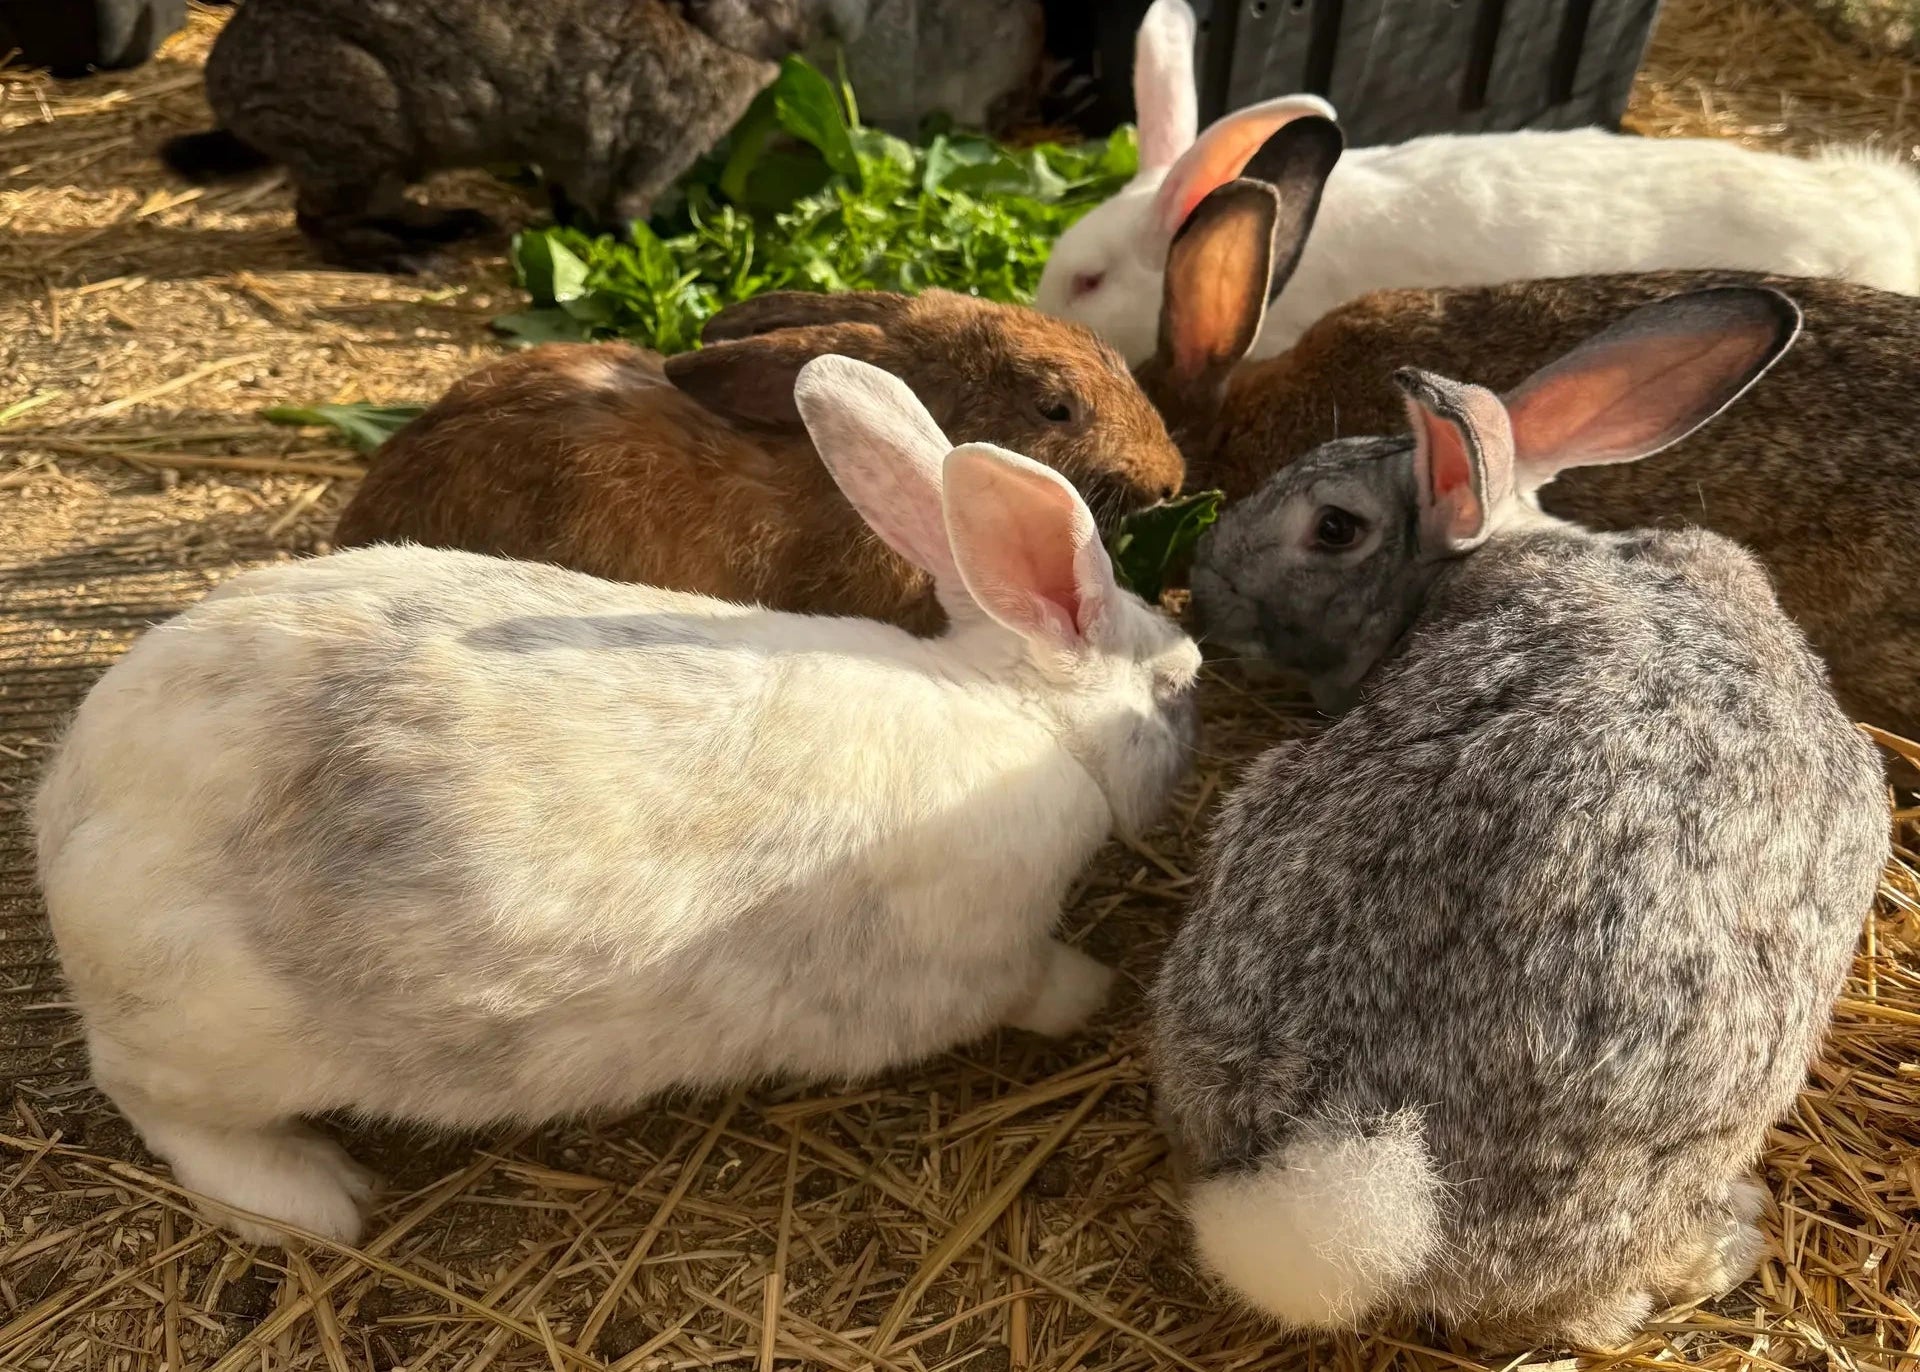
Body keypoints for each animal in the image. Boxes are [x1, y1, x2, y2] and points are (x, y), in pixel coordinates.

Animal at [35, 354, 1203, 1246]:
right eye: (1175, 688)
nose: (1198, 672)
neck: (1019, 712)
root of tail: (70, 808)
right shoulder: (988, 958)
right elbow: (1036, 986)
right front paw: (1095, 990)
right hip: (209, 1037)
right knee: (155, 1103)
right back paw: (312, 1200)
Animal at [159, 0, 854, 271]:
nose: (837, 25)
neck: (703, 24)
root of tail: (226, 89)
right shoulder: (648, 150)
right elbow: (621, 208)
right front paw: (655, 251)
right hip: (365, 135)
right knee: (319, 220)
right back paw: (411, 258)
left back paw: (455, 224)